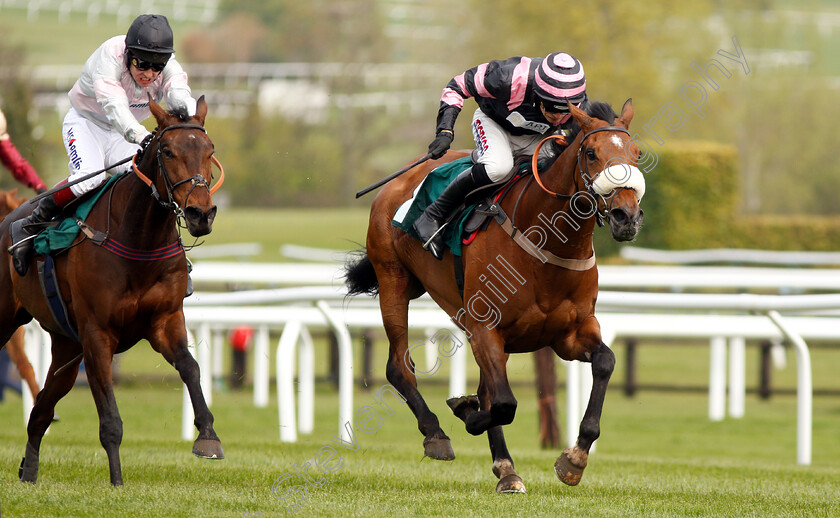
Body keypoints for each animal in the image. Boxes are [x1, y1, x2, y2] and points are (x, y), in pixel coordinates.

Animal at [0, 96, 223, 488]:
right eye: (167, 151)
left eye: (209, 151)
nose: (201, 213)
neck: (139, 240)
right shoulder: (97, 335)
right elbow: (110, 419)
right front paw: (117, 482)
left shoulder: (164, 321)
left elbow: (191, 368)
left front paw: (208, 436)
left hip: (66, 346)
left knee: (42, 407)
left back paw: (29, 472)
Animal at [344, 99, 648, 494]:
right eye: (592, 153)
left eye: (636, 153)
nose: (627, 216)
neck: (545, 244)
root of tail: (396, 182)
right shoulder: (486, 329)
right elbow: (503, 403)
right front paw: (466, 412)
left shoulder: (569, 334)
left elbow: (605, 362)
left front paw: (574, 458)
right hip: (392, 280)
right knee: (399, 366)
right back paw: (437, 435)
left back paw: (505, 466)